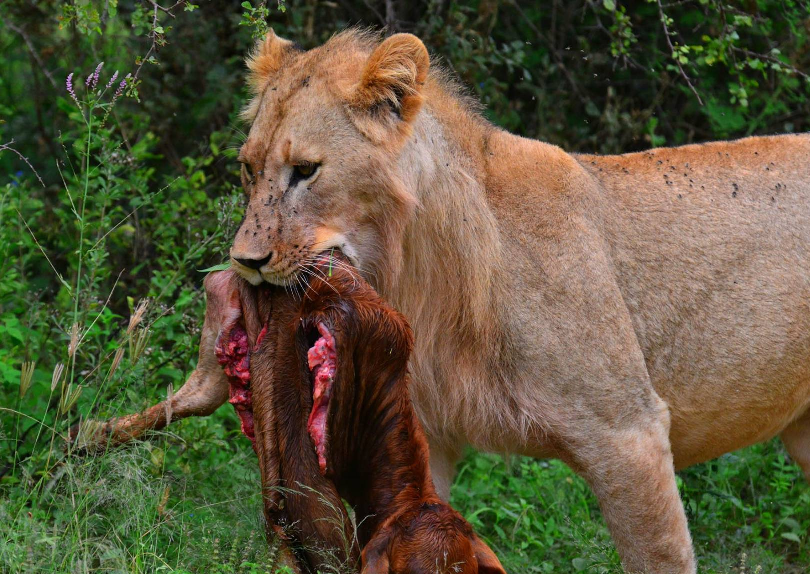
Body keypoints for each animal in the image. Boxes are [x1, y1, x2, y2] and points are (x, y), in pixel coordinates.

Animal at [78, 30, 810, 573]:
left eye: (306, 171)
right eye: (247, 169)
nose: (245, 267)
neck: (422, 268)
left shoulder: (628, 431)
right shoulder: (425, 437)